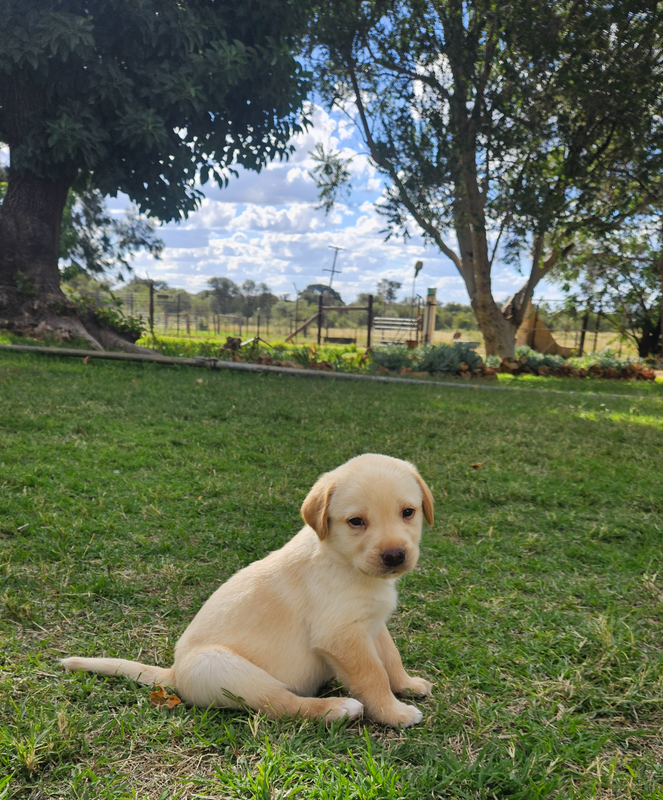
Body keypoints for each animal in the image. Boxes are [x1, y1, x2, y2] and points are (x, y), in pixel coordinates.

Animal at [63, 456, 436, 724]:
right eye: (356, 522)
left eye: (408, 512)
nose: (394, 556)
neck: (344, 562)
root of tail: (174, 673)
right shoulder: (341, 635)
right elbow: (372, 675)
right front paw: (393, 713)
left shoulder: (373, 624)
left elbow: (390, 658)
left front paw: (407, 685)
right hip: (224, 668)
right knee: (281, 703)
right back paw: (336, 709)